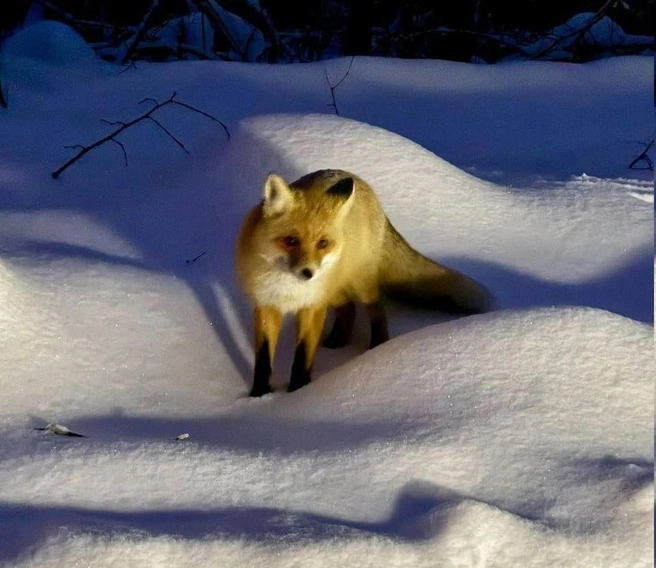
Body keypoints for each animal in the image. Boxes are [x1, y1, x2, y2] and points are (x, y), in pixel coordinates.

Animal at [236, 170, 492, 394]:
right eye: (291, 241)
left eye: (322, 243)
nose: (308, 273)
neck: (289, 291)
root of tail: (358, 180)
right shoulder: (266, 305)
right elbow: (263, 360)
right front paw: (259, 395)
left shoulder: (313, 304)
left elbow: (302, 357)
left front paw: (298, 391)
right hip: (335, 288)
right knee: (349, 309)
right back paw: (337, 341)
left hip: (360, 285)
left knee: (377, 309)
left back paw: (377, 346)